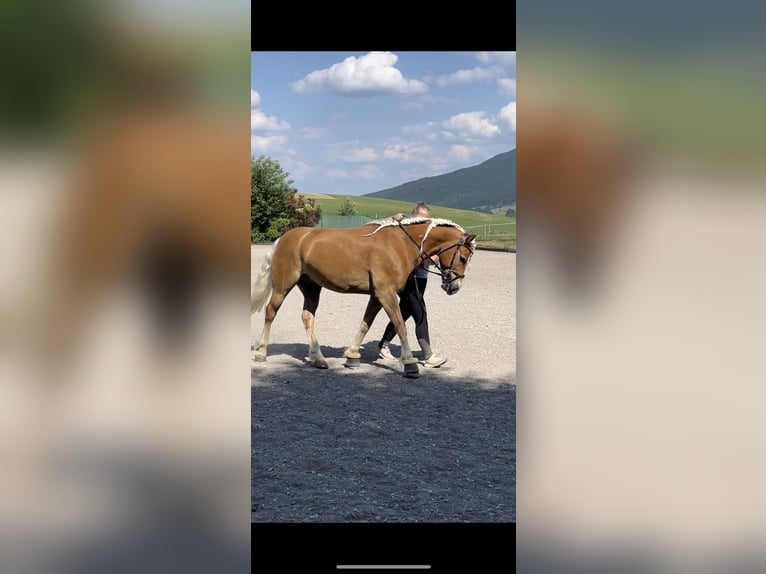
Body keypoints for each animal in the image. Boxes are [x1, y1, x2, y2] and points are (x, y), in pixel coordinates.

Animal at [250, 217, 476, 378]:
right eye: (463, 257)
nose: (454, 286)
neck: (401, 244)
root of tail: (284, 238)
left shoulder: (377, 296)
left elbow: (365, 325)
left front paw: (352, 357)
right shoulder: (386, 294)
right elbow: (400, 325)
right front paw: (410, 364)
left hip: (311, 287)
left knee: (308, 317)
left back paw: (318, 359)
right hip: (283, 285)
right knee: (271, 312)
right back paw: (261, 352)